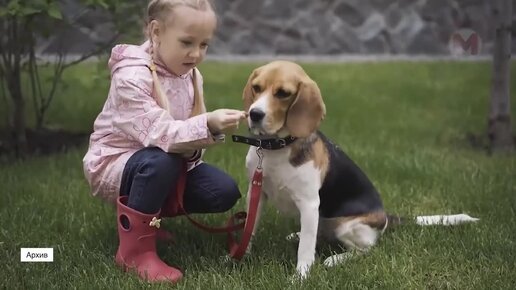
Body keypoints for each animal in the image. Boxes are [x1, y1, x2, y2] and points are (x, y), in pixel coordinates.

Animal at [237, 60, 480, 278]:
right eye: (257, 88)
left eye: (283, 93)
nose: (254, 114)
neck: (274, 148)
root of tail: (384, 217)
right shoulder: (256, 194)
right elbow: (249, 229)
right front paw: (239, 256)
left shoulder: (309, 203)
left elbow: (306, 249)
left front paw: (301, 276)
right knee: (318, 233)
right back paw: (298, 236)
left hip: (345, 226)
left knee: (365, 249)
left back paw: (335, 259)